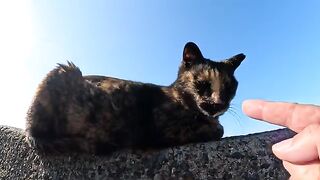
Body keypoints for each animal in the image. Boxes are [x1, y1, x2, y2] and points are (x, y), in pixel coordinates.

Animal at [25, 42, 245, 155]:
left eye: (229, 87)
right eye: (203, 84)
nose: (218, 103)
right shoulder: (168, 129)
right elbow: (219, 130)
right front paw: (216, 127)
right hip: (64, 70)